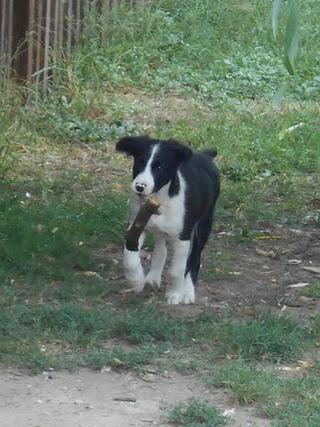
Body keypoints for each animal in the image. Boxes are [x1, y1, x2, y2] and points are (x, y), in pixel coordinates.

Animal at [115, 135, 220, 306]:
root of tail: (206, 155)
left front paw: (175, 294)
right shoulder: (137, 225)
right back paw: (153, 277)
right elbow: (129, 256)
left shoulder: (182, 238)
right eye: (140, 162)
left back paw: (188, 291)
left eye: (159, 168)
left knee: (195, 259)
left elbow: (176, 270)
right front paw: (136, 281)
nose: (139, 186)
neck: (161, 199)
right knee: (161, 247)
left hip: (205, 222)